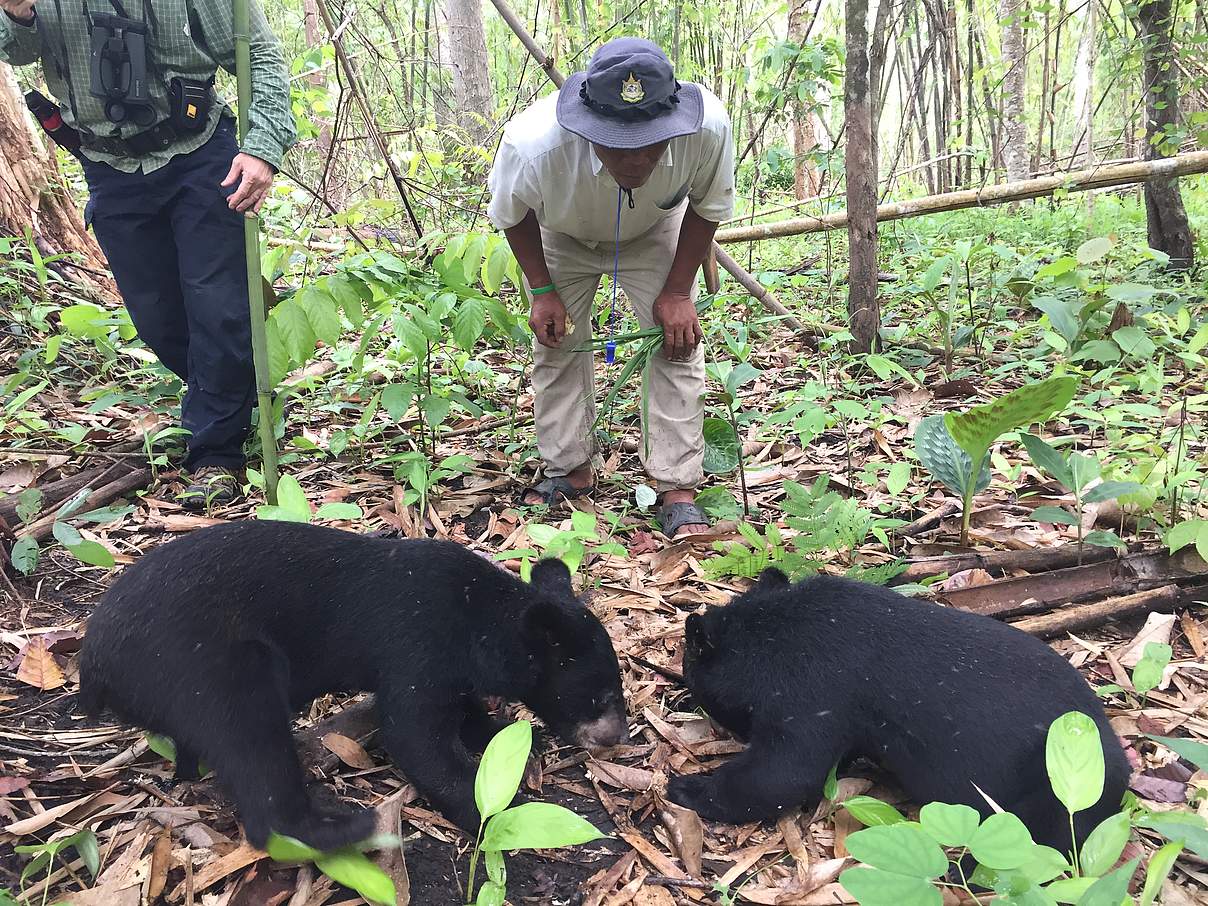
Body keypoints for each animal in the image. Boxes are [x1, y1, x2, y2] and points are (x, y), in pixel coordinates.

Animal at [80, 521, 628, 855]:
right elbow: (414, 733)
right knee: (252, 745)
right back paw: (344, 825)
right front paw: (493, 811)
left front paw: (503, 735)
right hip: (208, 663)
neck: (479, 619)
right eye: (600, 696)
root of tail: (94, 663)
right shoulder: (415, 643)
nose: (616, 738)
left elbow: (459, 709)